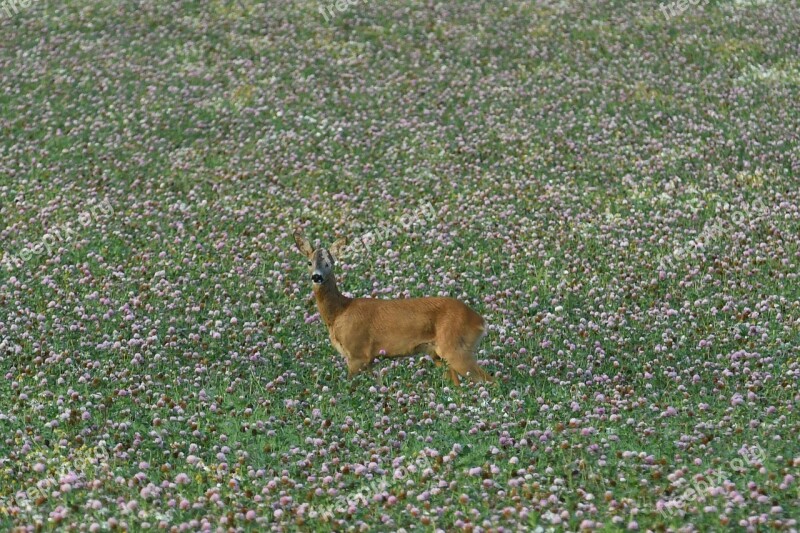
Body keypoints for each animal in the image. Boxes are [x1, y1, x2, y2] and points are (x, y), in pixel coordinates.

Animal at [296, 227, 494, 384]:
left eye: (329, 263)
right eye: (309, 262)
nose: (317, 276)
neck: (340, 311)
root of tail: (480, 321)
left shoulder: (358, 354)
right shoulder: (369, 360)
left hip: (456, 348)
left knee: (491, 381)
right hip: (439, 354)